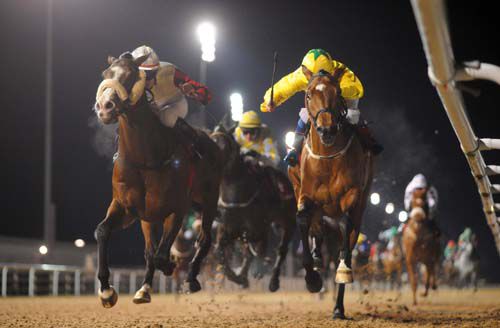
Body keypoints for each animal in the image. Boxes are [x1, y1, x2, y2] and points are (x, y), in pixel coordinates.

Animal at [91, 53, 223, 308]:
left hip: (210, 199)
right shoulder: (126, 208)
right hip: (148, 218)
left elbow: (163, 255)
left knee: (204, 239)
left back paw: (192, 279)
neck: (145, 159)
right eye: (105, 74)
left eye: (131, 74)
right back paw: (144, 289)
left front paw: (173, 267)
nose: (104, 107)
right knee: (150, 250)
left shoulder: (177, 209)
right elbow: (103, 231)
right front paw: (106, 291)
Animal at [209, 126, 294, 292]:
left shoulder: (256, 228)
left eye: (222, 145)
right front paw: (238, 277)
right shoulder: (228, 227)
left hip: (287, 220)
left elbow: (255, 248)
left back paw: (272, 280)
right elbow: (219, 252)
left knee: (281, 249)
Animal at [288, 68, 374, 320]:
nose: (326, 129)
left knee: (347, 239)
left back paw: (338, 307)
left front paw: (343, 272)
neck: (326, 159)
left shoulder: (352, 194)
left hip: (359, 205)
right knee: (316, 228)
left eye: (337, 93)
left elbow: (345, 229)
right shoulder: (305, 194)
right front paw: (312, 279)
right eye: (308, 95)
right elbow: (302, 219)